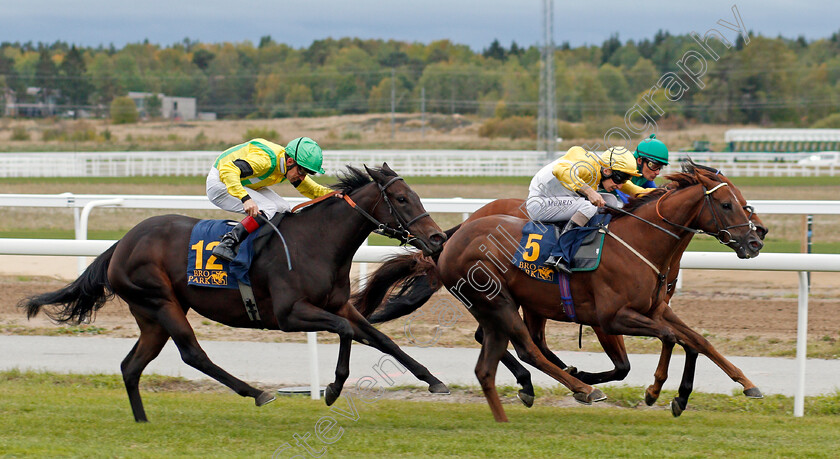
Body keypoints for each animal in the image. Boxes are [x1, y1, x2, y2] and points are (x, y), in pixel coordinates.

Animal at [19, 164, 450, 422]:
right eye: (401, 199)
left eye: (415, 195)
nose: (437, 238)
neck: (319, 242)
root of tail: (121, 243)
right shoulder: (290, 314)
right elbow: (345, 332)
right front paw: (332, 388)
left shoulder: (339, 304)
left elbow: (380, 338)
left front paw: (434, 380)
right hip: (160, 301)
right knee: (193, 354)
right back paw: (256, 392)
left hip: (150, 316)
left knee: (131, 365)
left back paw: (142, 421)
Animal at [358, 164, 764, 422]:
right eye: (726, 204)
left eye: (743, 200)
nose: (756, 240)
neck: (640, 242)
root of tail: (452, 236)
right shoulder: (611, 318)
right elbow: (664, 341)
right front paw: (654, 390)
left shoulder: (655, 308)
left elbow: (696, 341)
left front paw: (741, 385)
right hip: (497, 300)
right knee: (526, 347)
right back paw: (575, 386)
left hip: (516, 303)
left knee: (510, 345)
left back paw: (558, 382)